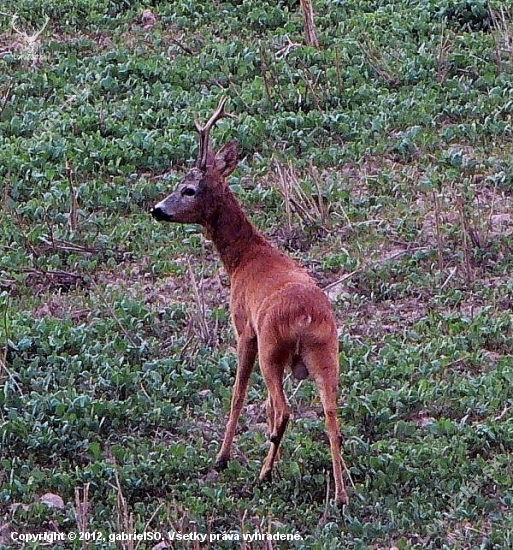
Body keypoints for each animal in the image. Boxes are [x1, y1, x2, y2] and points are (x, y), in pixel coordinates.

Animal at [150, 97, 346, 506]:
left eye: (188, 189)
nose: (157, 209)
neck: (244, 259)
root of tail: (306, 317)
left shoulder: (245, 329)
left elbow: (238, 394)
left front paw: (222, 458)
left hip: (272, 347)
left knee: (283, 410)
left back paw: (263, 474)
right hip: (326, 354)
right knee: (331, 415)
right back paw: (339, 495)